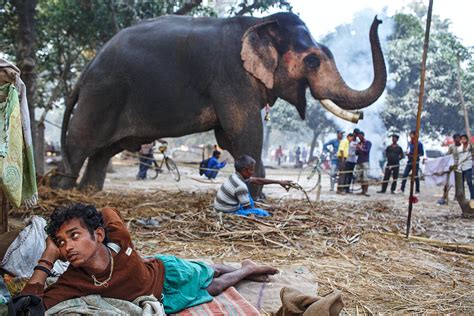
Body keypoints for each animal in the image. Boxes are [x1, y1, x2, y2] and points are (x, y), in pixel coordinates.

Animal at [55, 11, 386, 195]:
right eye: (313, 60)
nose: (378, 19)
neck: (260, 24)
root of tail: (88, 68)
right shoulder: (231, 74)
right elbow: (244, 131)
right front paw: (258, 197)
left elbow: (228, 137)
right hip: (102, 94)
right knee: (80, 143)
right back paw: (61, 190)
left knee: (104, 151)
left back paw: (89, 193)